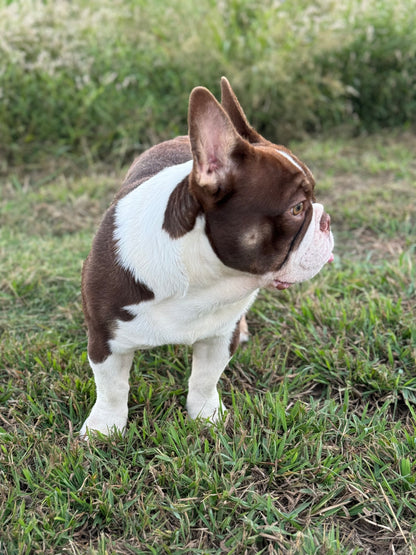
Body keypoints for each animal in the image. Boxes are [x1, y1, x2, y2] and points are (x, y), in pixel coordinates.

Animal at [80, 78, 334, 436]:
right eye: (298, 208)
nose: (326, 220)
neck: (201, 277)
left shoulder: (219, 335)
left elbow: (205, 378)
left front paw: (205, 415)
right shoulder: (105, 339)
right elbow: (112, 388)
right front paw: (104, 428)